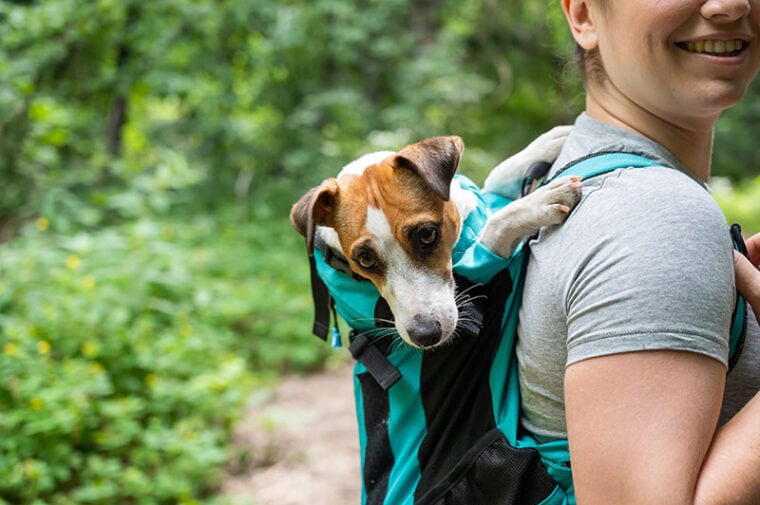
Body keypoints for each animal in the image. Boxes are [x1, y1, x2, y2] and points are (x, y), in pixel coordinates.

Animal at [290, 129, 576, 350]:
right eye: (365, 260)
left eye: (427, 234)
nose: (425, 335)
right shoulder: (482, 256)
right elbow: (498, 222)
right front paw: (539, 202)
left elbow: (497, 174)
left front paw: (550, 141)